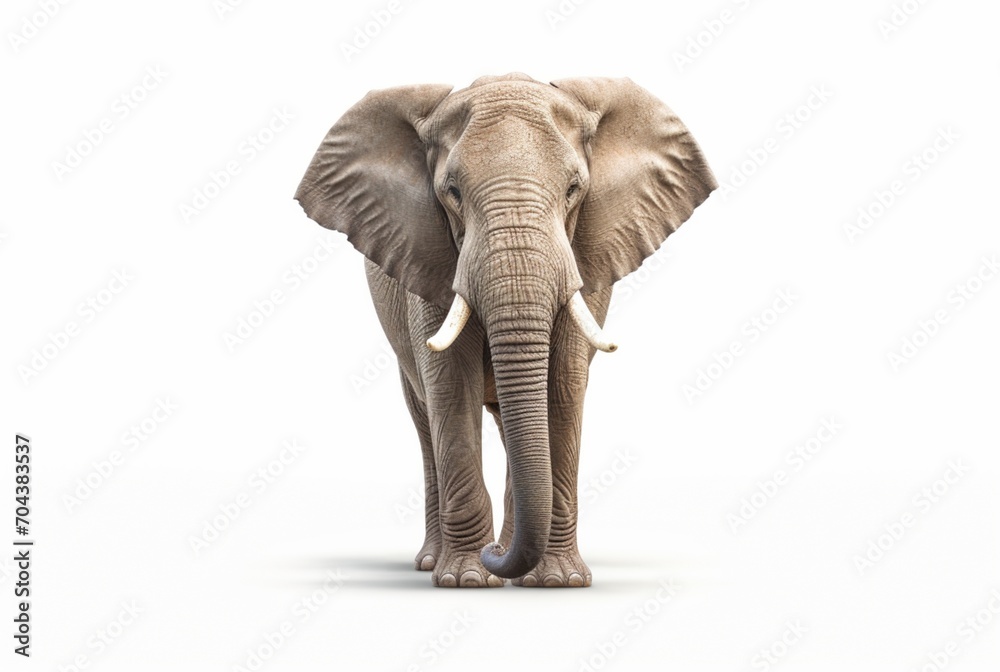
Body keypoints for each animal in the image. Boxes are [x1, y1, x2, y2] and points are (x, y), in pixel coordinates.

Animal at [295, 73, 716, 587]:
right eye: (452, 192)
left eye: (574, 189)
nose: (495, 552)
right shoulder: (428, 258)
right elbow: (450, 387)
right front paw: (467, 580)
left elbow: (562, 385)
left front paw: (559, 582)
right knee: (424, 418)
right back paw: (434, 562)